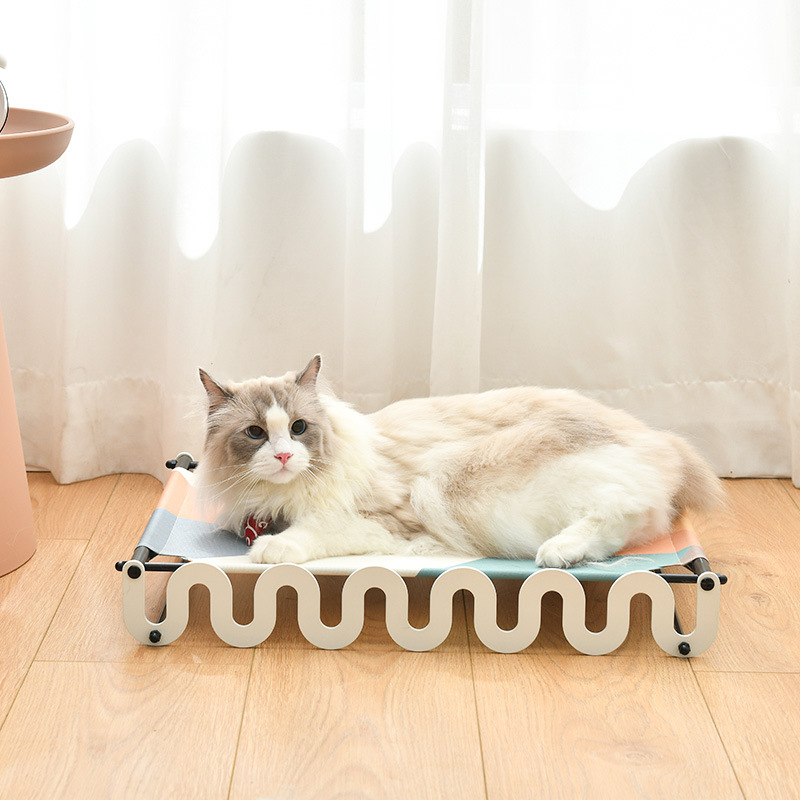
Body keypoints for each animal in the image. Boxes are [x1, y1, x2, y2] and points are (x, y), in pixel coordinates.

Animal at [196, 355, 722, 568]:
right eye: (256, 434)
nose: (285, 455)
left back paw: (556, 553)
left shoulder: (381, 522)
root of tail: (657, 438)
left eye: (299, 428)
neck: (278, 498)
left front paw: (270, 550)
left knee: (622, 511)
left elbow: (312, 533)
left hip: (450, 482)